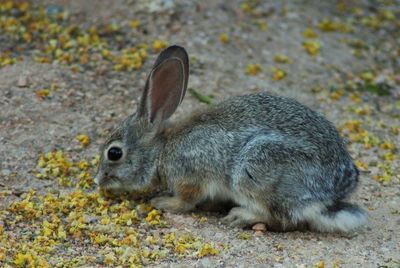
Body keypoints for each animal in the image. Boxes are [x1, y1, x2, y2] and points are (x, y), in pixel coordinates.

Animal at [95, 45, 368, 232]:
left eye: (114, 153)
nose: (98, 181)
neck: (161, 151)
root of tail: (328, 195)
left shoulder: (191, 175)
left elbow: (186, 200)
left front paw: (163, 202)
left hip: (255, 169)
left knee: (281, 217)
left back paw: (240, 216)